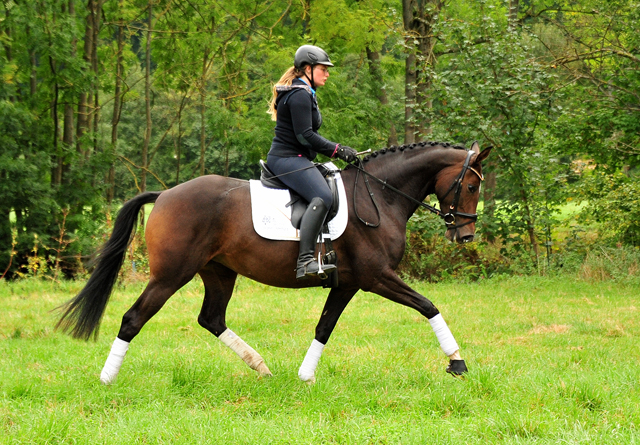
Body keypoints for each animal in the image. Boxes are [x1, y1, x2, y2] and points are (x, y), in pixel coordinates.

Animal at [57, 141, 492, 382]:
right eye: (471, 185)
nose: (465, 235)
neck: (379, 196)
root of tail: (164, 195)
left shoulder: (349, 283)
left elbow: (324, 326)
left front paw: (305, 376)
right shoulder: (377, 277)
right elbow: (428, 305)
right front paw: (457, 363)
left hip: (219, 272)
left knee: (212, 319)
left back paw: (262, 367)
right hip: (170, 275)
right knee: (133, 319)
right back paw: (106, 379)